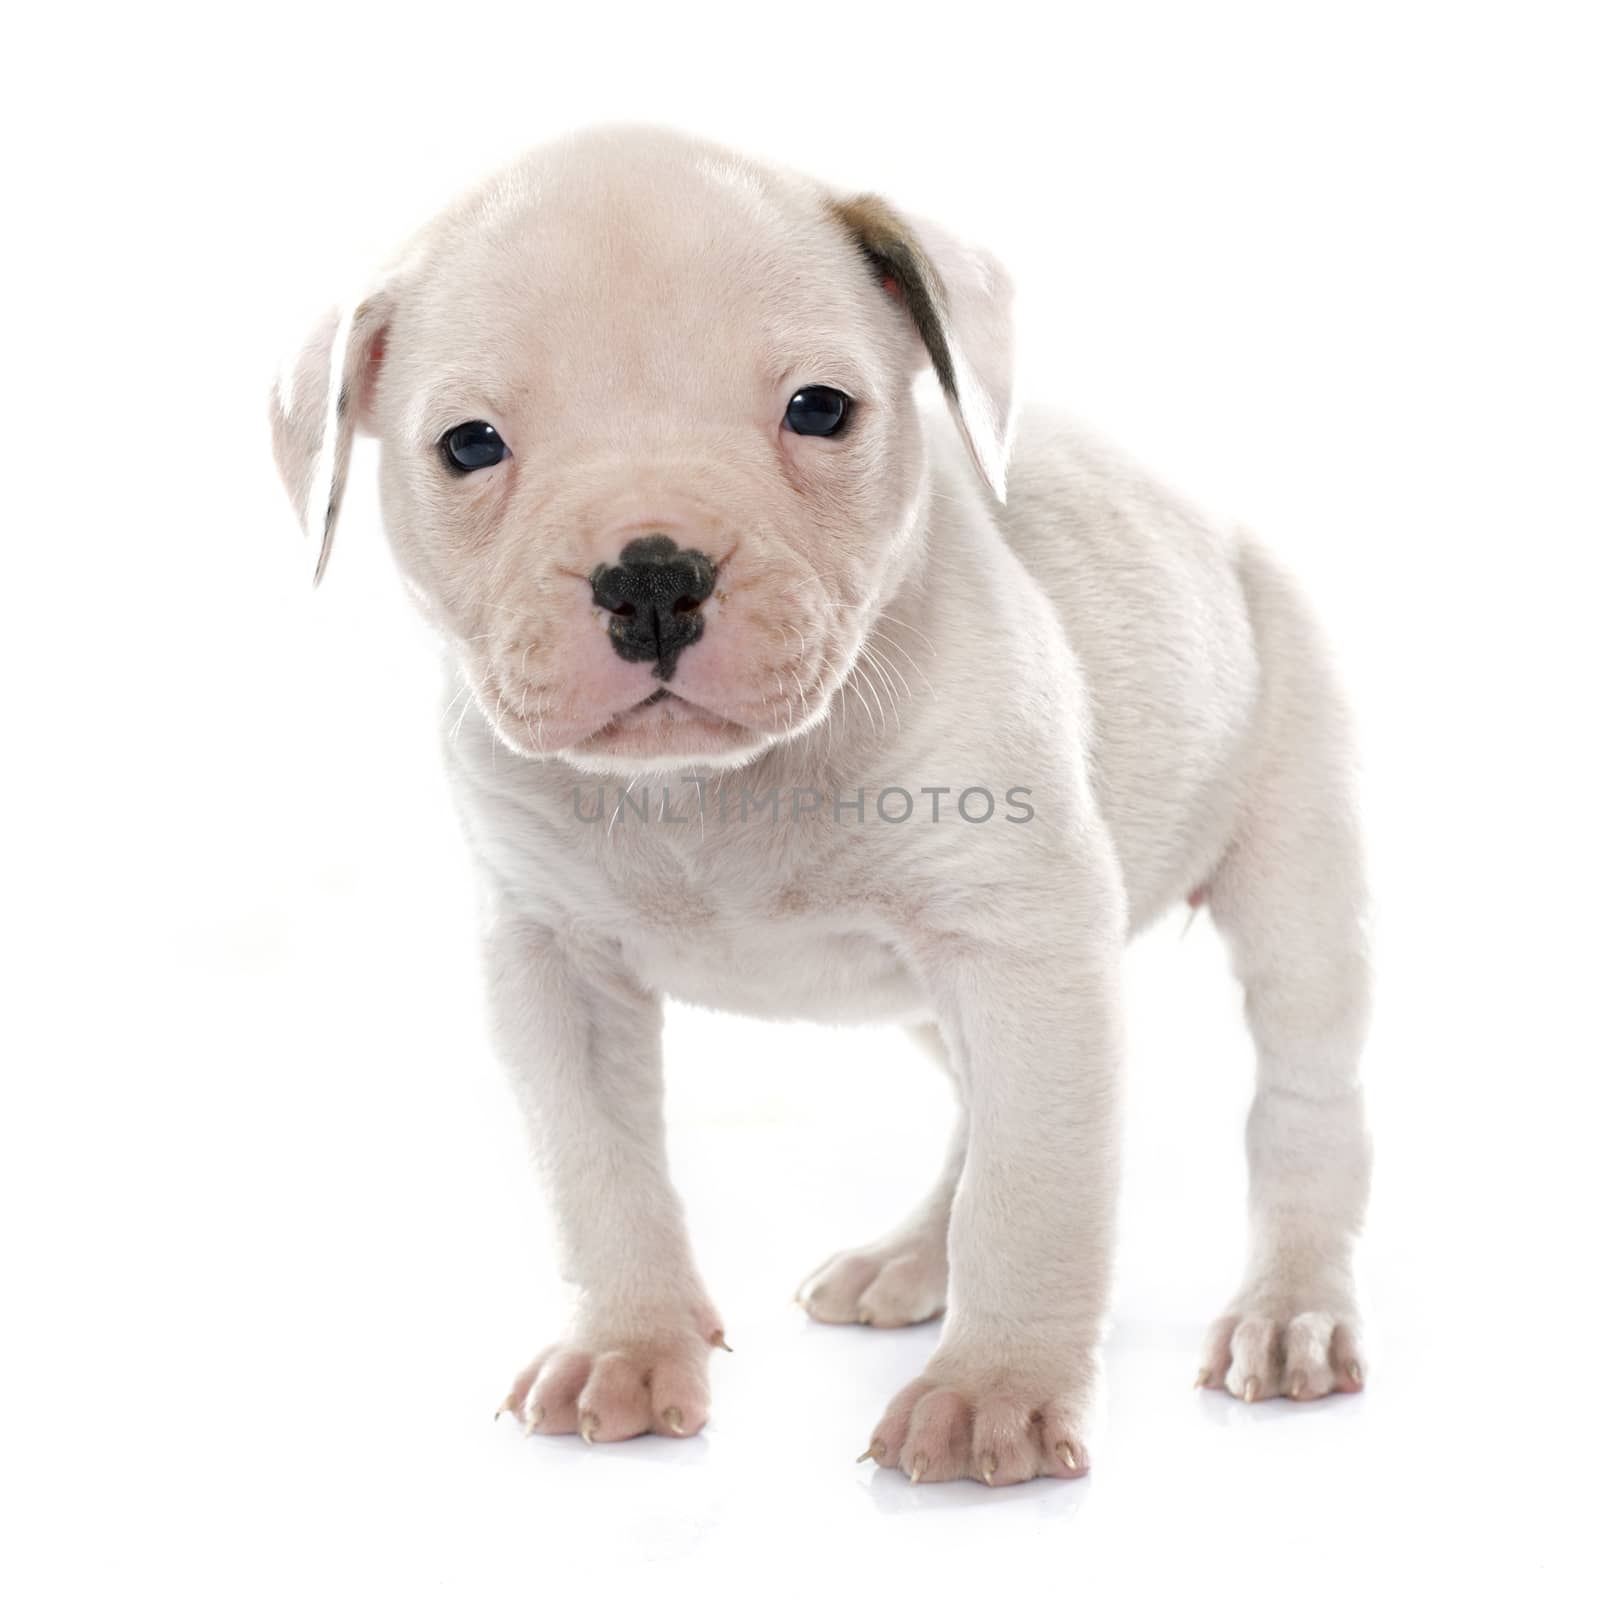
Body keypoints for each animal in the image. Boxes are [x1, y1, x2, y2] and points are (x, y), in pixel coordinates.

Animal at [268, 124, 1369, 1484]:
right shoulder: (549, 966)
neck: (706, 789)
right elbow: (598, 1171)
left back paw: (1290, 1308)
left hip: (1296, 864)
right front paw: (626, 1345)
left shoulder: (1025, 946)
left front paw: (997, 1390)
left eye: (819, 410)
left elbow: (1034, 1189)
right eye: (469, 444)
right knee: (977, 1104)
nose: (651, 576)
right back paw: (913, 1255)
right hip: (937, 997)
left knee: (1302, 1100)